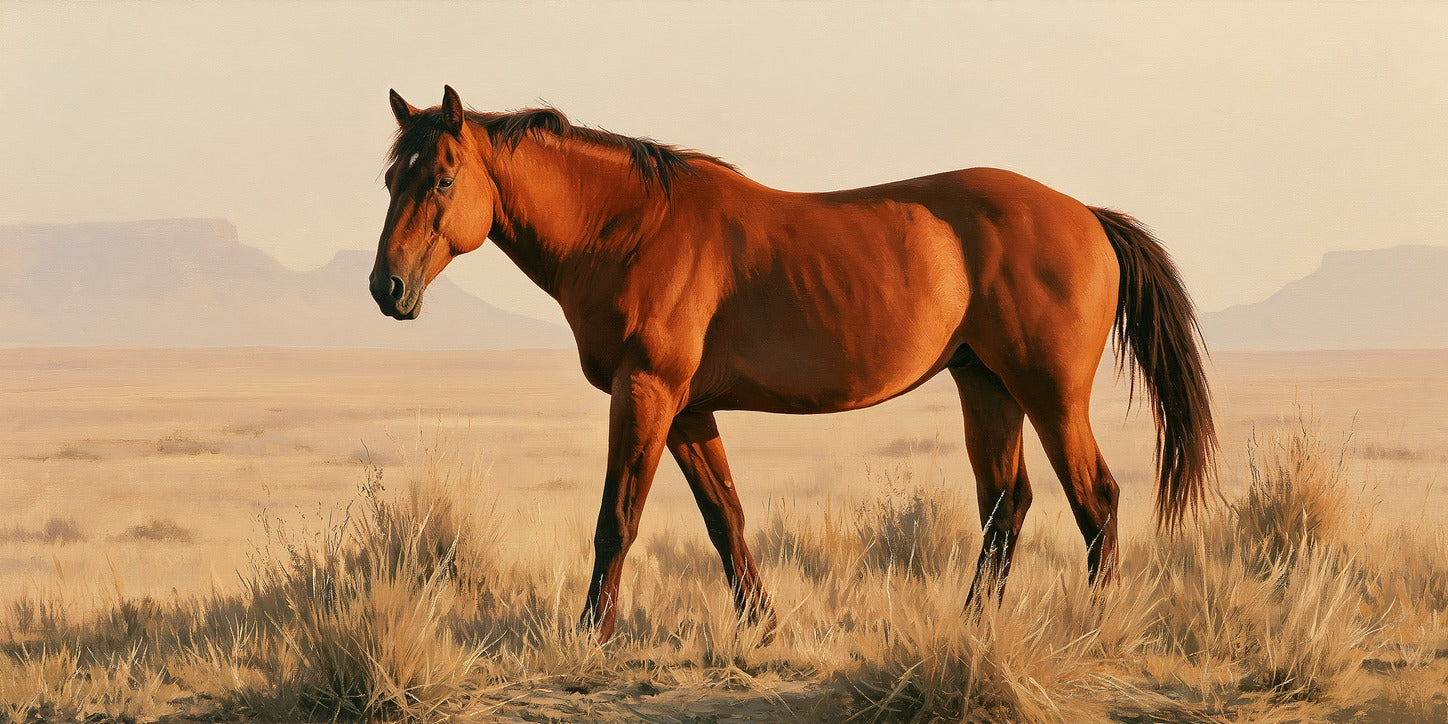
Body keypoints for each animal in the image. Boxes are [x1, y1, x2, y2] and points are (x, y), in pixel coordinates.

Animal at [370, 86, 1216, 643]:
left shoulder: (645, 395)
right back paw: (974, 625)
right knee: (1007, 508)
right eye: (389, 178)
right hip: (987, 386)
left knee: (1095, 499)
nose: (388, 288)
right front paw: (763, 625)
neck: (632, 229)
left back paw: (1098, 625)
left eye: (441, 178)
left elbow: (617, 519)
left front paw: (592, 635)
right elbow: (726, 519)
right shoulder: (687, 411)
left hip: (1050, 396)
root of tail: (1086, 217)